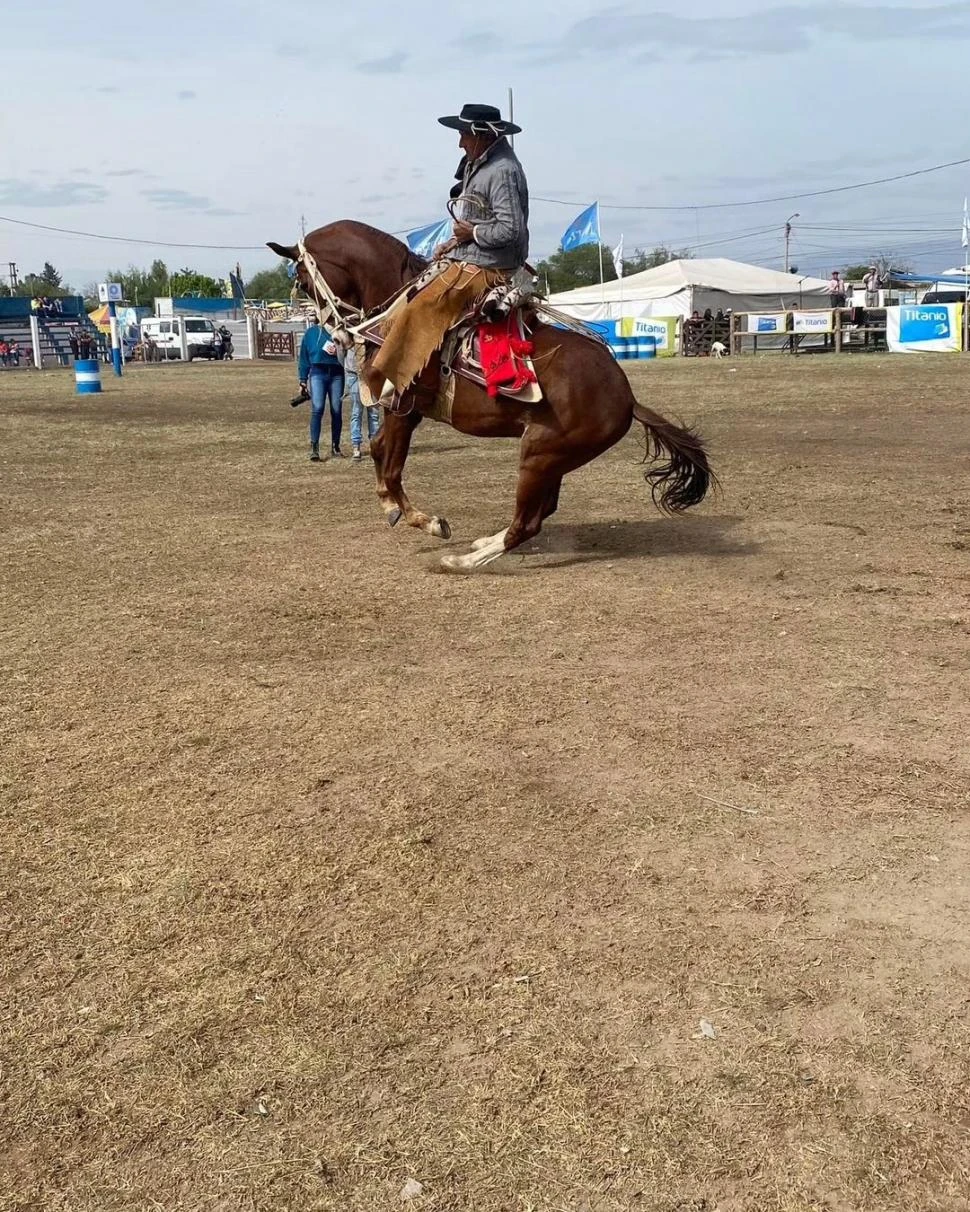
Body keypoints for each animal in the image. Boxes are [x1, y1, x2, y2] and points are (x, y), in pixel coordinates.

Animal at [269, 220, 717, 569]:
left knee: (527, 523)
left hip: (539, 453)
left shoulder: (401, 408)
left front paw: (420, 519)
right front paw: (402, 510)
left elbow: (387, 461)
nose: (332, 331)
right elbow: (386, 460)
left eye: (302, 281)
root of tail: (627, 397)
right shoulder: (406, 412)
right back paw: (483, 544)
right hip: (553, 458)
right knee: (542, 512)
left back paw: (463, 561)